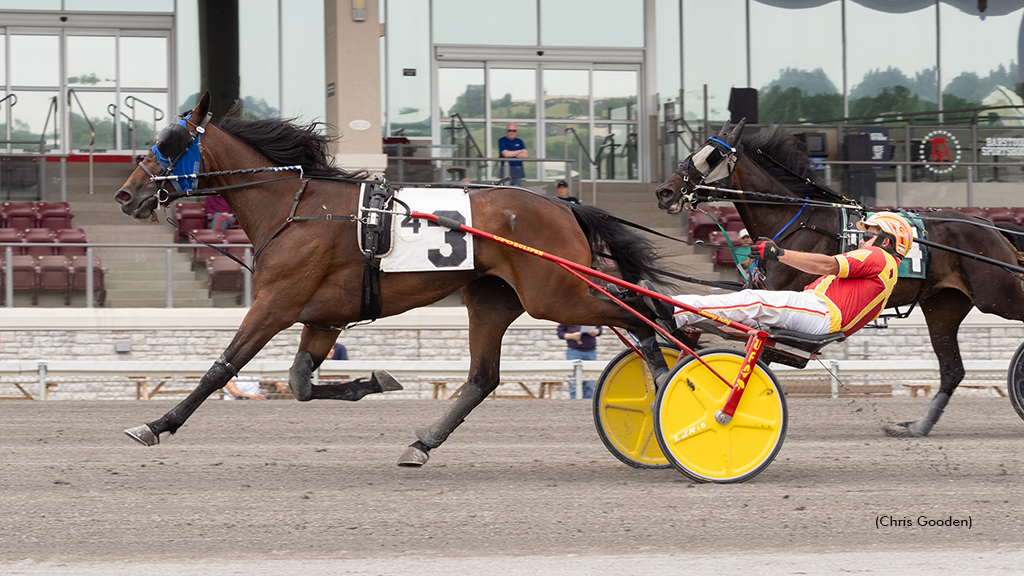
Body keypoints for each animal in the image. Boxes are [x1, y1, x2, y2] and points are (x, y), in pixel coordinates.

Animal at [116, 91, 671, 463]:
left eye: (171, 142)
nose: (126, 195)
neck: (295, 209)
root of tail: (564, 205)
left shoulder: (275, 304)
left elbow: (221, 368)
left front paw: (155, 424)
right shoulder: (323, 319)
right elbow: (299, 383)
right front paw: (374, 381)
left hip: (557, 294)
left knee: (640, 313)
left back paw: (667, 376)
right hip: (493, 299)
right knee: (482, 379)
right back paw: (422, 444)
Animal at [655, 119, 1024, 434]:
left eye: (712, 155)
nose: (664, 192)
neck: (796, 219)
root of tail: (990, 225)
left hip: (998, 295)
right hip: (943, 308)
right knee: (952, 371)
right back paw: (918, 427)